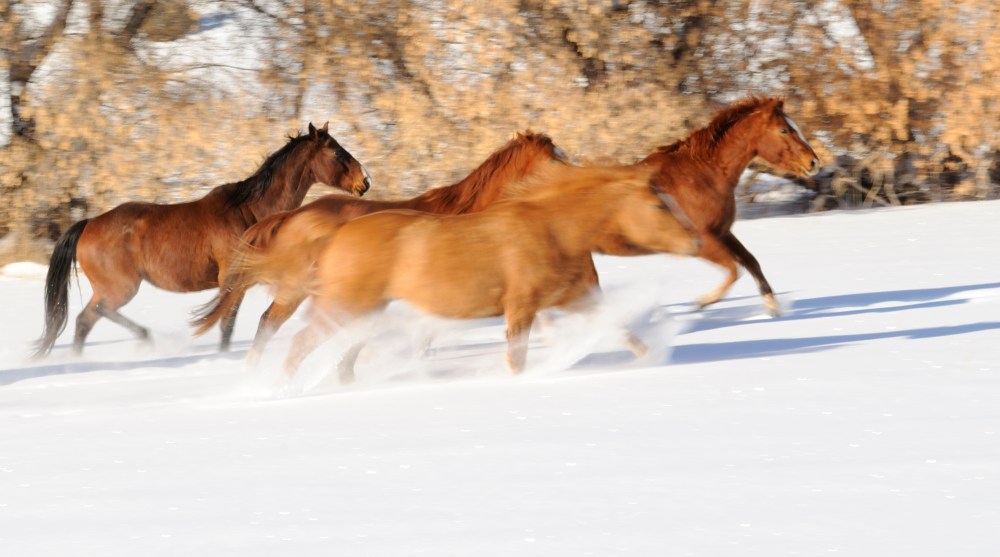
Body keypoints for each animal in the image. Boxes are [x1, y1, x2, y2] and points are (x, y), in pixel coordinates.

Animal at [33, 122, 372, 358]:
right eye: (336, 152)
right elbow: (226, 325)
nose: (364, 182)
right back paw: (145, 338)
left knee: (83, 321)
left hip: (109, 289)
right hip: (120, 289)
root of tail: (89, 224)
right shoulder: (232, 281)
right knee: (97, 314)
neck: (250, 213)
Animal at [192, 131, 572, 364]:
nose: (579, 176)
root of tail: (291, 215)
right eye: (554, 159)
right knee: (267, 324)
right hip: (297, 290)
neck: (466, 216)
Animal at [262, 164, 701, 381]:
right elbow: (517, 360)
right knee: (298, 342)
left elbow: (626, 335)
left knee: (343, 358)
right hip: (345, 307)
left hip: (367, 311)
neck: (553, 230)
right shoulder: (520, 308)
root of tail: (336, 234)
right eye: (658, 205)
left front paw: (652, 360)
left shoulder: (578, 300)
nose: (696, 241)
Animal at [600, 96, 820, 316]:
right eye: (784, 130)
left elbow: (751, 262)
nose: (814, 162)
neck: (703, 174)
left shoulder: (722, 232)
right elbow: (734, 270)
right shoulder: (702, 240)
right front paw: (703, 301)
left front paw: (773, 308)